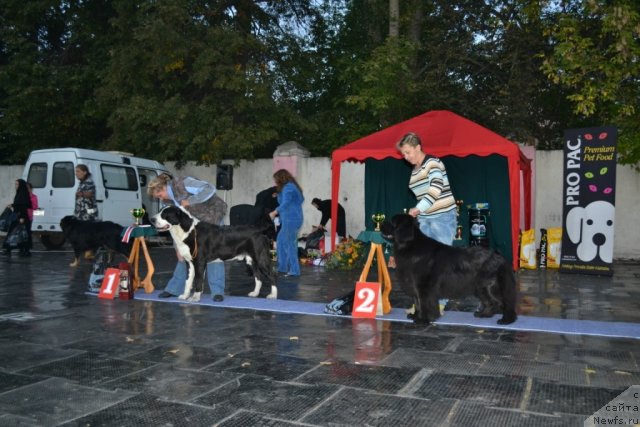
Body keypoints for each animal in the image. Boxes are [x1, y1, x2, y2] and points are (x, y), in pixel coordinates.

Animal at [382, 212, 516, 326]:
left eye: (392, 222)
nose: (382, 223)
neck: (410, 245)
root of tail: (498, 255)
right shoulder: (414, 286)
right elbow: (417, 302)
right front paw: (415, 316)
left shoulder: (423, 287)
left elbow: (424, 303)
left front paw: (423, 320)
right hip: (480, 286)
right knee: (491, 301)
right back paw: (483, 314)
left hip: (488, 284)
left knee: (504, 301)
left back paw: (506, 320)